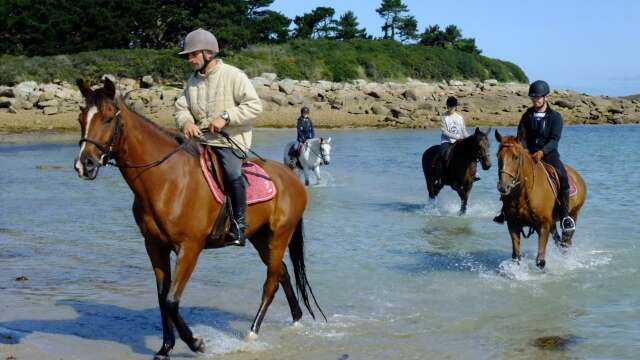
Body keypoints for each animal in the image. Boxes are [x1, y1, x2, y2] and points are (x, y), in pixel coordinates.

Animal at [74, 79, 324, 360]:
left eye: (107, 119)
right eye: (81, 118)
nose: (84, 165)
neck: (167, 180)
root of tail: (292, 178)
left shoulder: (189, 248)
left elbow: (171, 300)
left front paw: (196, 343)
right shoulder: (155, 247)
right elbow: (162, 299)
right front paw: (165, 348)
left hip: (280, 235)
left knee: (271, 283)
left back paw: (253, 332)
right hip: (261, 238)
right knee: (282, 273)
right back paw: (296, 318)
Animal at [492, 131, 588, 268]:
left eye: (516, 157)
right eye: (498, 156)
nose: (503, 187)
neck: (524, 193)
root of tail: (578, 176)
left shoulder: (543, 225)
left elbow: (540, 261)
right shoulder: (513, 224)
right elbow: (516, 257)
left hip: (573, 214)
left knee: (566, 242)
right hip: (552, 222)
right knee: (559, 241)